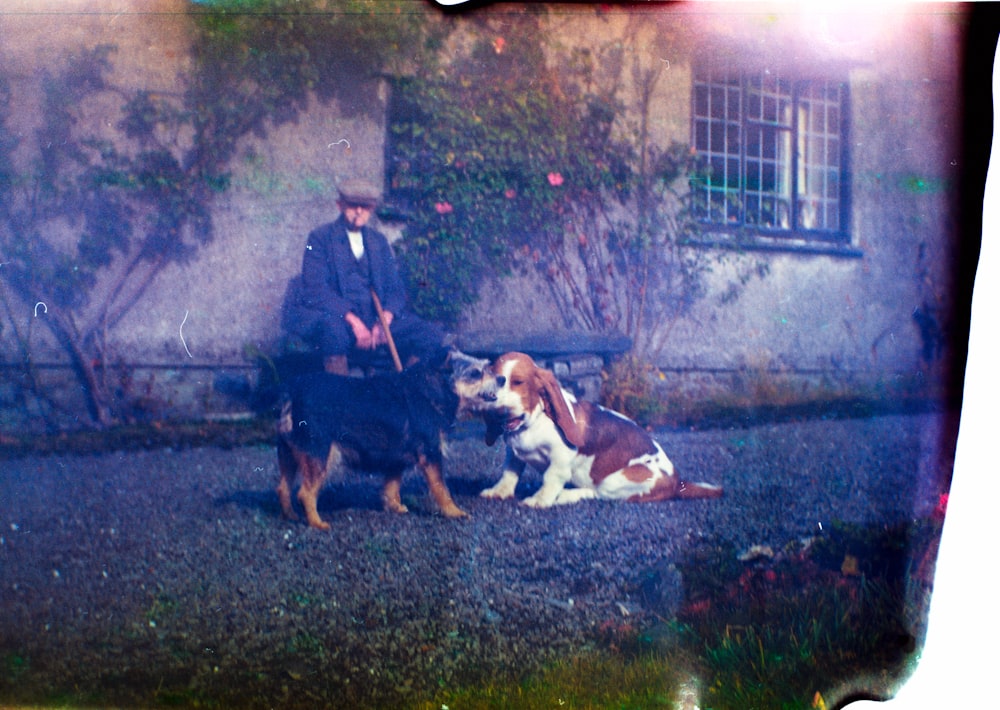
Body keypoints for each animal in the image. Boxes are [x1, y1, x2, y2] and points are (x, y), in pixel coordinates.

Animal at [276, 350, 494, 528]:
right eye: (476, 373)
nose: (500, 379)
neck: (433, 388)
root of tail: (292, 392)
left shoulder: (396, 457)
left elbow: (391, 486)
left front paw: (395, 507)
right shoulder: (431, 453)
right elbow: (442, 488)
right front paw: (454, 512)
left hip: (289, 454)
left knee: (283, 488)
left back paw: (290, 516)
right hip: (320, 454)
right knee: (305, 493)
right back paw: (317, 523)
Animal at [480, 354, 724, 508]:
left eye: (518, 382)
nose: (495, 404)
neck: (533, 421)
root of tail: (677, 481)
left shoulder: (560, 459)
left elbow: (551, 478)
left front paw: (539, 499)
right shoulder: (514, 453)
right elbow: (509, 473)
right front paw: (499, 491)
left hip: (616, 480)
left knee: (597, 493)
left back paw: (565, 495)